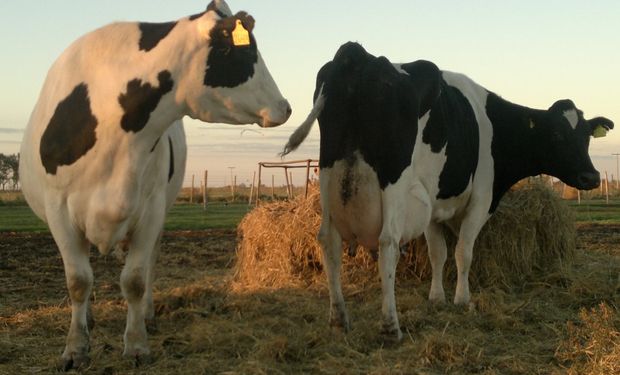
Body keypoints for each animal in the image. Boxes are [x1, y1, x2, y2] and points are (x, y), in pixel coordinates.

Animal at [18, 0, 290, 370]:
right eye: (245, 53)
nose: (286, 107)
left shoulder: (150, 210)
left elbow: (134, 279)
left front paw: (136, 344)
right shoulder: (59, 210)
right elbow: (78, 281)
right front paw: (75, 348)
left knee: (149, 266)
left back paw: (146, 314)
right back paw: (88, 319)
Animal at [284, 42, 612, 342]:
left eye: (586, 137)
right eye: (556, 134)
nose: (592, 176)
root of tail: (357, 53)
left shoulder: (433, 205)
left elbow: (438, 254)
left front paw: (436, 297)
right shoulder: (481, 200)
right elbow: (463, 252)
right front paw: (462, 300)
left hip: (329, 176)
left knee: (328, 242)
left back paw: (339, 319)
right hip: (393, 182)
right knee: (388, 243)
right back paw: (390, 326)